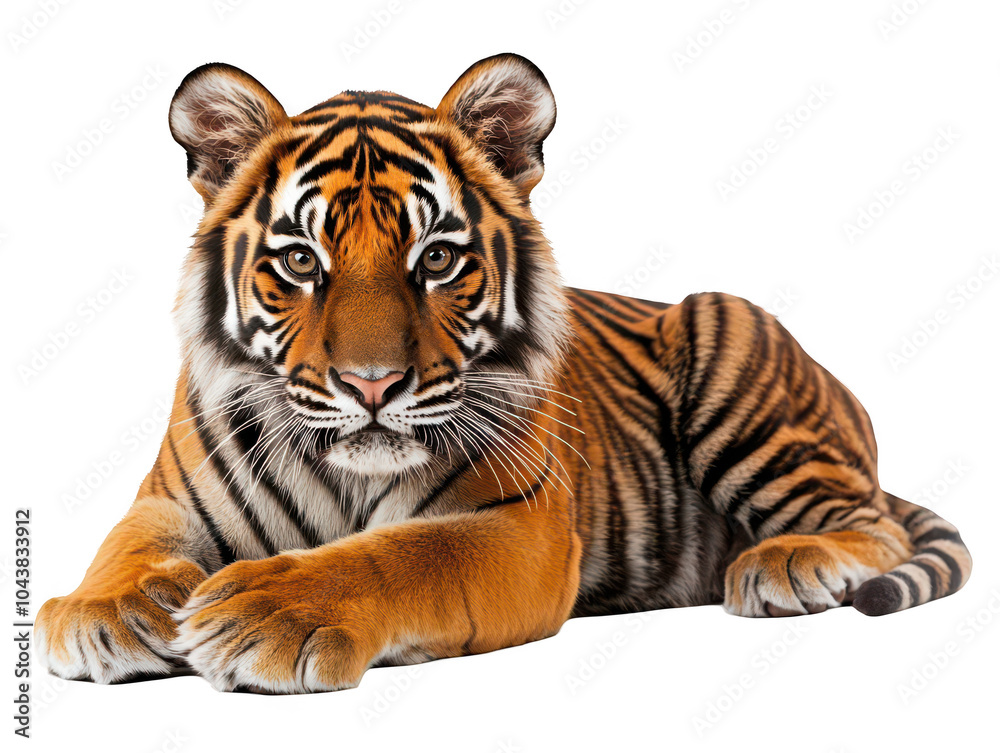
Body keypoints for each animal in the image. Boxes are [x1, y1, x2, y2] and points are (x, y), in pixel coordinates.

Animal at [36, 53, 972, 694]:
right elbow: (125, 543)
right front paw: (101, 612)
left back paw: (786, 563)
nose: (371, 385)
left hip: (728, 334)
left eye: (437, 258)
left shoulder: (521, 526)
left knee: (871, 523)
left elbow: (399, 555)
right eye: (301, 261)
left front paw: (268, 611)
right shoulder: (167, 498)